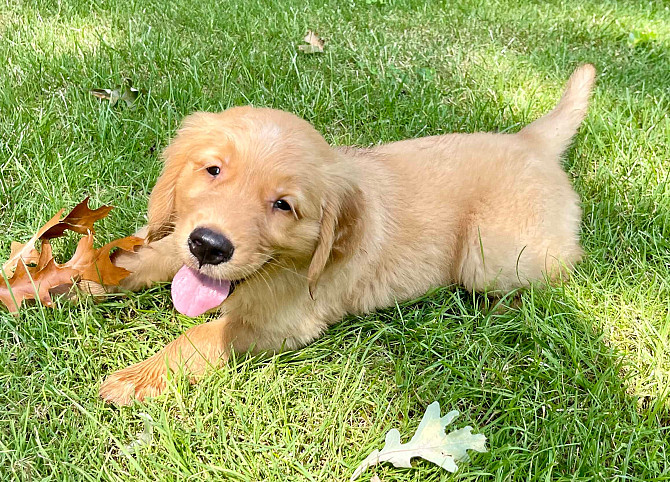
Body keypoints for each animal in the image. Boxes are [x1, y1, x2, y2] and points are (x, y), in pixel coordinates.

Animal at [98, 63, 592, 402]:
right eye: (213, 170)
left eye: (283, 205)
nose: (209, 246)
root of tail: (531, 142)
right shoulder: (182, 237)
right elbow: (155, 252)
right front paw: (90, 274)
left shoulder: (282, 322)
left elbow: (201, 336)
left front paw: (138, 377)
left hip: (489, 256)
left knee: (564, 267)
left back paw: (504, 308)